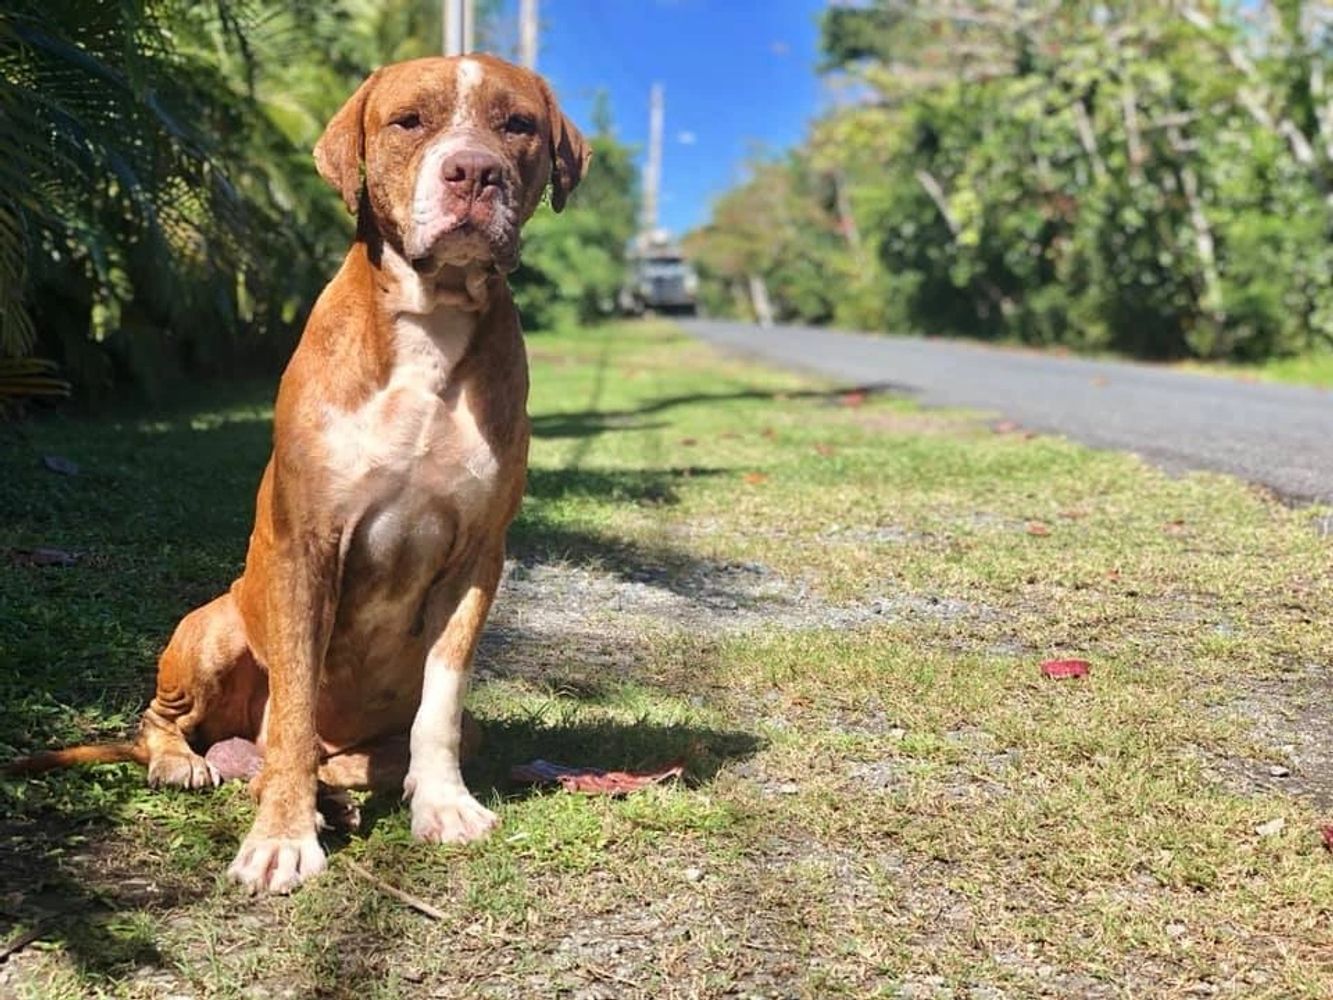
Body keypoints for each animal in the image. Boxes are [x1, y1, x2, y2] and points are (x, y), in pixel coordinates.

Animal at [5, 54, 589, 896]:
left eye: (517, 126)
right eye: (408, 121)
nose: (473, 171)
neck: (429, 322)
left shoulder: (476, 556)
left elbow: (439, 706)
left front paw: (442, 805)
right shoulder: (305, 545)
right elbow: (293, 712)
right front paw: (282, 837)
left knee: (353, 753)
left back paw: (334, 792)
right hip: (213, 629)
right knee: (171, 723)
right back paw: (192, 765)